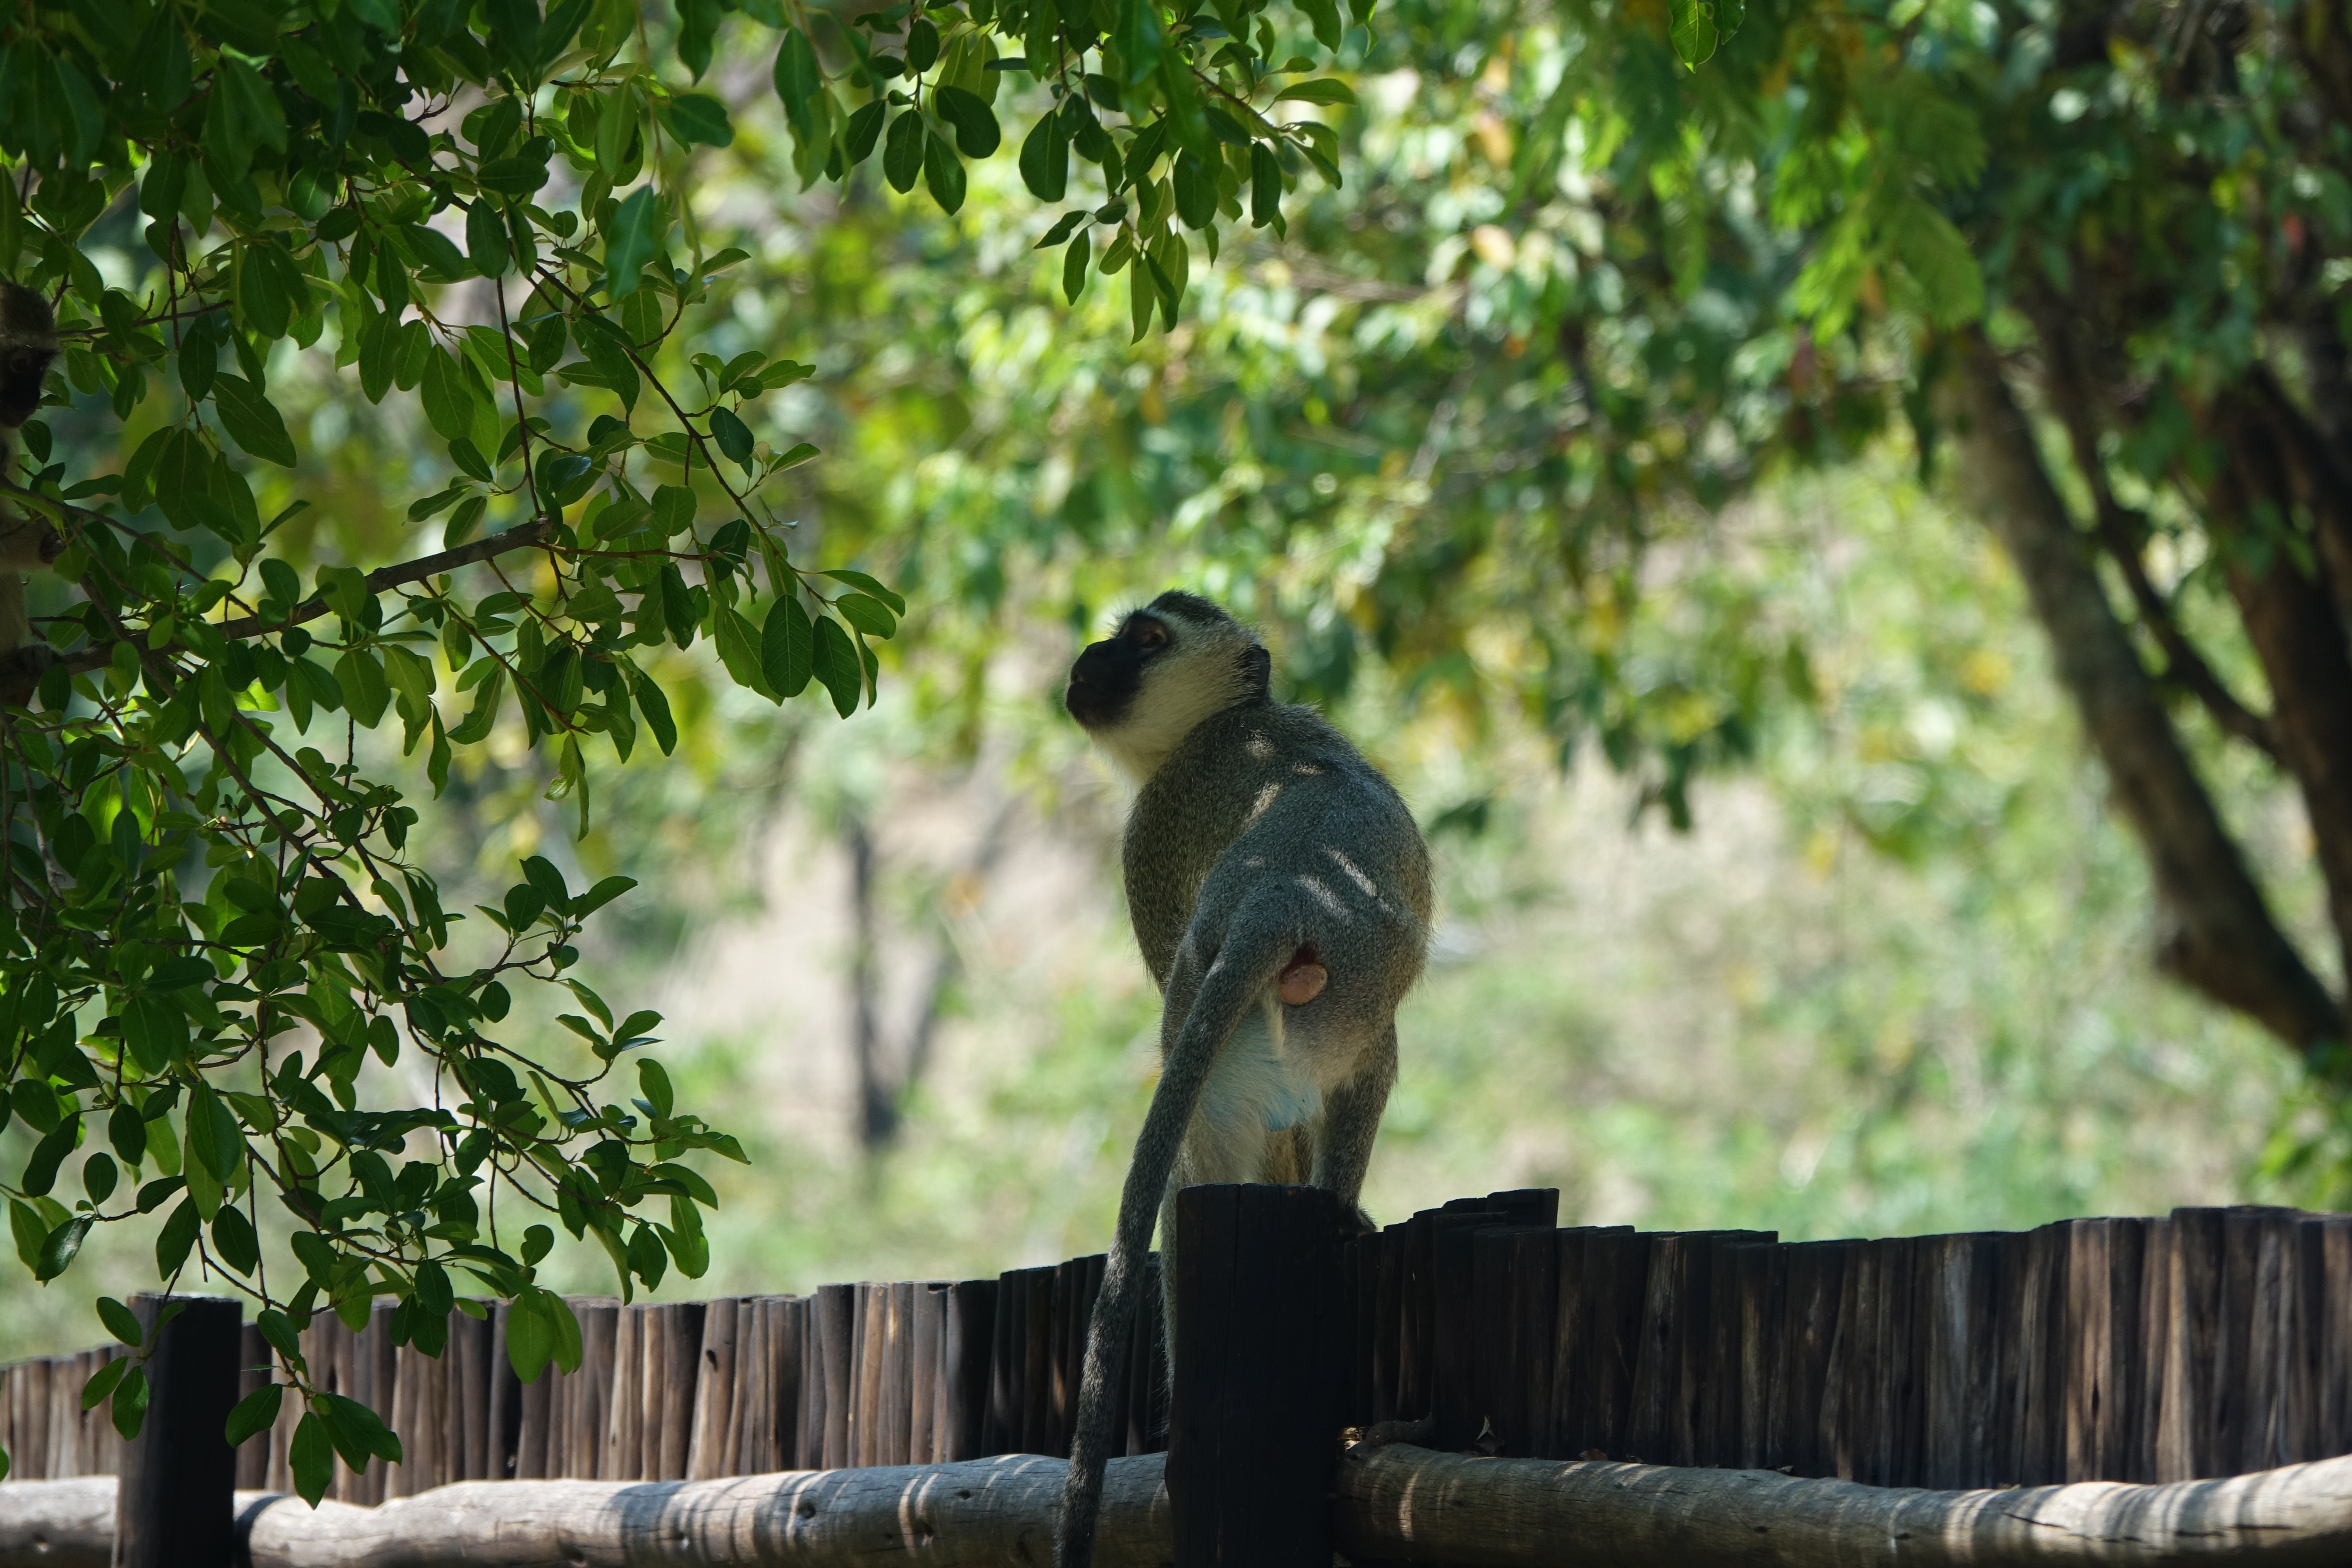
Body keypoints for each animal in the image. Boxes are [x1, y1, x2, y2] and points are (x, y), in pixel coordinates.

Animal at [1068, 592, 1430, 1568]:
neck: (1234, 721)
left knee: (1195, 1167)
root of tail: (1282, 895)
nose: (1086, 657)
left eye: (1146, 638)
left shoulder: (1154, 829)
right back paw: (1337, 1212)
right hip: (1342, 999)